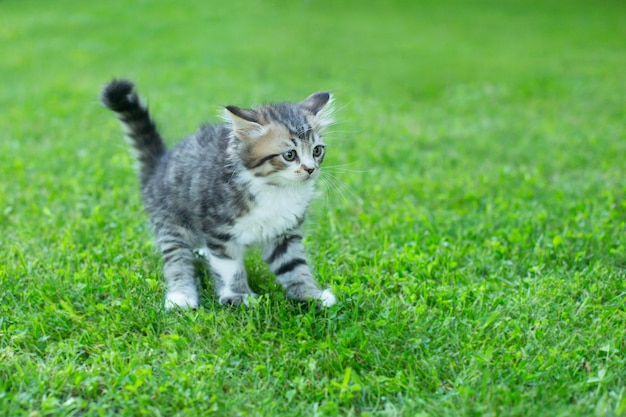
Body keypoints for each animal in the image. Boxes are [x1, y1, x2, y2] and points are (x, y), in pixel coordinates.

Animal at [101, 79, 336, 308]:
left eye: (317, 150)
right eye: (289, 155)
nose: (310, 169)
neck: (275, 189)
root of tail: (160, 162)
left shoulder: (286, 233)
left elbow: (294, 266)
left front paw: (311, 295)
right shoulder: (219, 230)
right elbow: (230, 267)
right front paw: (239, 296)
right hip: (171, 220)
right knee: (177, 258)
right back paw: (181, 295)